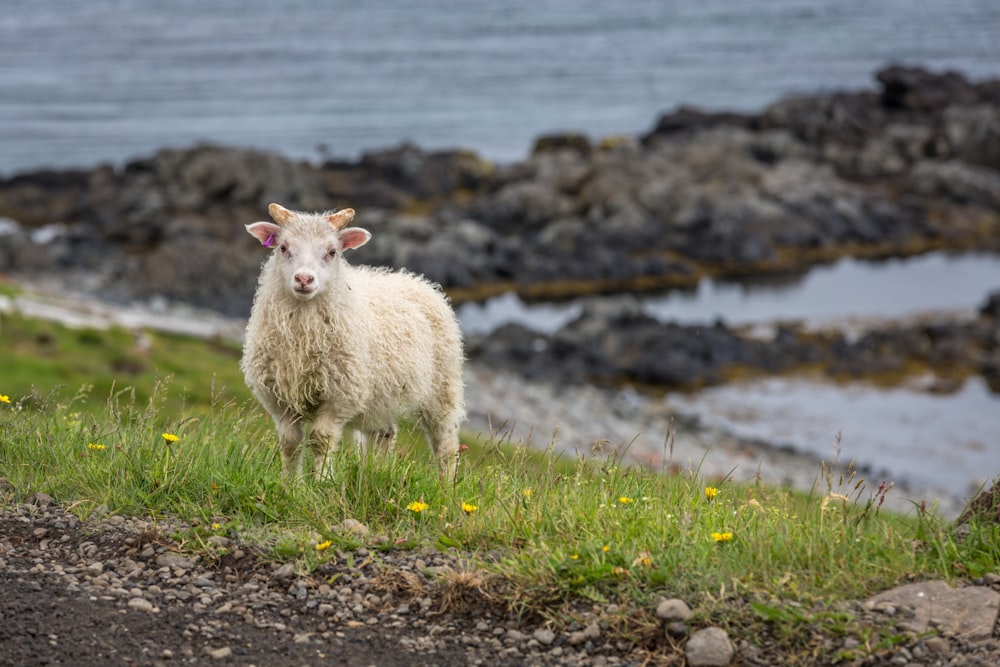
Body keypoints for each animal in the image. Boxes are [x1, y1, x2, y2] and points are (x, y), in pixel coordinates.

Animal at [242, 202, 464, 480]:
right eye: (283, 248)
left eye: (332, 252)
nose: (304, 279)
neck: (302, 338)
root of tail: (415, 279)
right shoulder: (279, 398)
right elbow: (289, 442)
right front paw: (290, 482)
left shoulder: (340, 394)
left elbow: (321, 439)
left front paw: (322, 481)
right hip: (382, 397)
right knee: (384, 433)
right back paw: (374, 472)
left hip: (442, 388)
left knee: (445, 442)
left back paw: (446, 483)